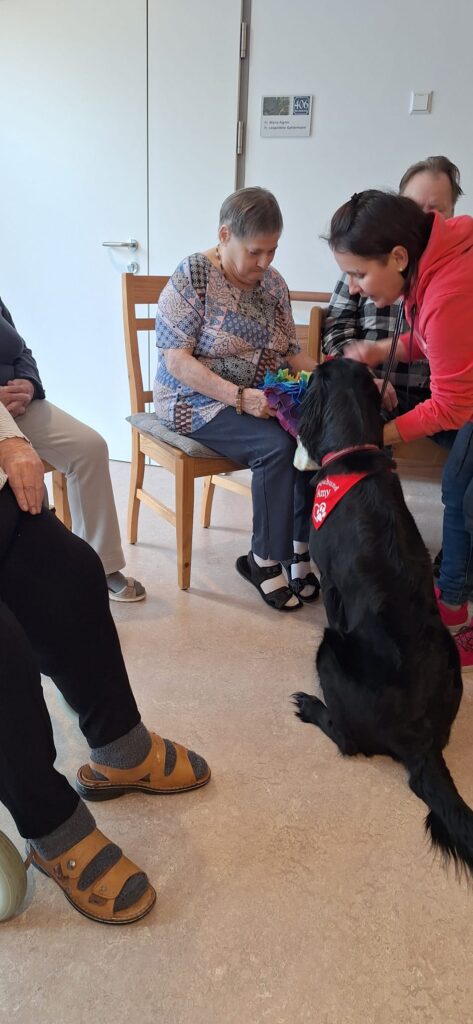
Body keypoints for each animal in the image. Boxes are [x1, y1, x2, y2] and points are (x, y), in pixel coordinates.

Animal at [293, 357, 473, 879]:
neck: (355, 454)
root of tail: (422, 741)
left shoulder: (332, 584)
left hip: (330, 649)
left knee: (348, 741)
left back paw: (312, 707)